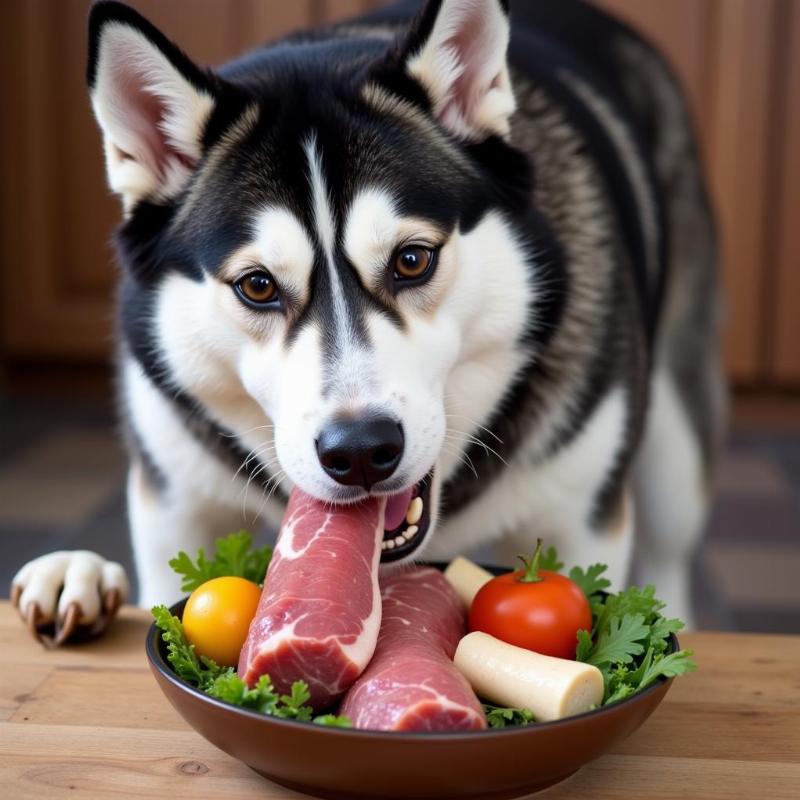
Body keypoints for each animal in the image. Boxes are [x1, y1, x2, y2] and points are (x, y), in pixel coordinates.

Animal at [10, 0, 724, 632]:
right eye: (257, 286)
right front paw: (78, 575)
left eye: (412, 260)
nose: (359, 452)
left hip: (673, 453)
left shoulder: (580, 525)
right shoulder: (174, 510)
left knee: (670, 554)